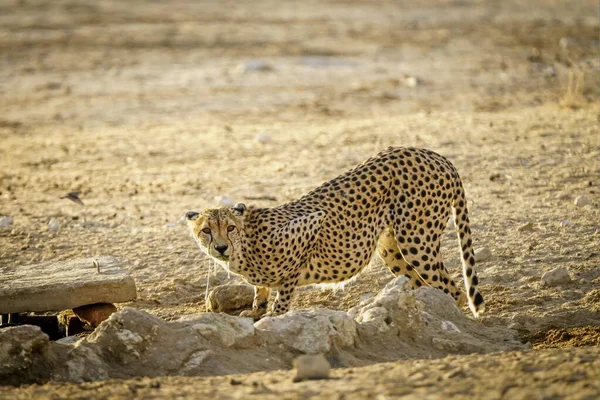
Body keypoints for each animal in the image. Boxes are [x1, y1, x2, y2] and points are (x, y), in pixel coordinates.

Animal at [185, 146, 486, 318]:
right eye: (206, 230)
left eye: (230, 228)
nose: (221, 247)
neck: (244, 245)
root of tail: (434, 155)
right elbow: (260, 290)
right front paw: (255, 312)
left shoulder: (308, 228)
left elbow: (283, 292)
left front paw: (274, 317)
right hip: (392, 248)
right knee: (424, 283)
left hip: (417, 241)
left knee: (455, 290)